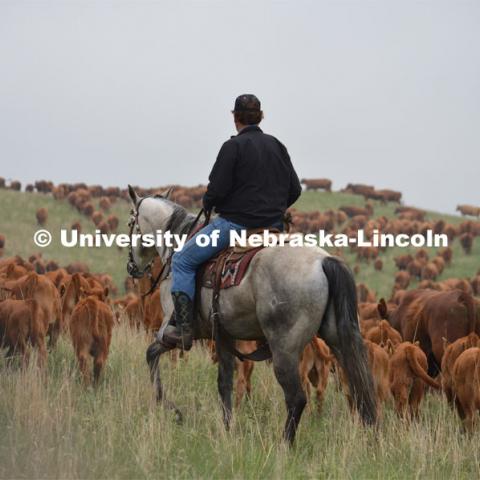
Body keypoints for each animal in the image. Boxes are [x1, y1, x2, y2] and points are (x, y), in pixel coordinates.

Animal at [126, 186, 376, 444]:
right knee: (360, 388)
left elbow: (151, 355)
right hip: (337, 340)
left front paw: (173, 411)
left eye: (130, 222)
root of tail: (323, 261)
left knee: (296, 398)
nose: (132, 267)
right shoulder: (224, 337)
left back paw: (284, 445)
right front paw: (227, 428)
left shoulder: (172, 331)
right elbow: (224, 382)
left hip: (284, 349)